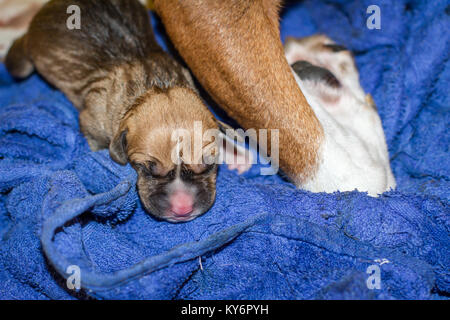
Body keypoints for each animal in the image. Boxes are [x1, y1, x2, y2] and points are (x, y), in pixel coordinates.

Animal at [4, 0, 220, 222]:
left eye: (209, 164)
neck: (157, 85)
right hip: (26, 58)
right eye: (146, 168)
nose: (182, 208)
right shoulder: (93, 120)